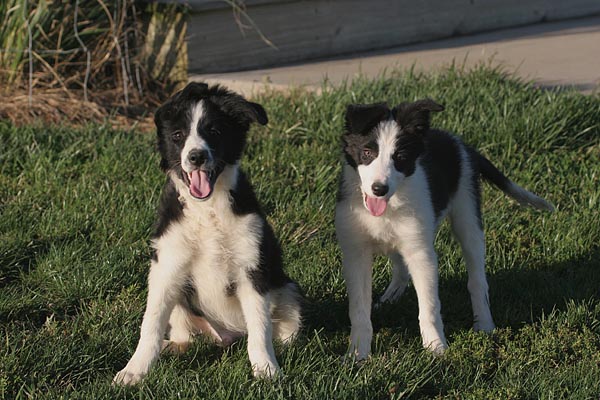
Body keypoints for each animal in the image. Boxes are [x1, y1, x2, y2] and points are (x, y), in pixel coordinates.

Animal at [113, 81, 300, 384]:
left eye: (214, 131)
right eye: (178, 135)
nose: (196, 157)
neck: (207, 210)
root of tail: (229, 336)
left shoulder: (252, 269)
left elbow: (260, 329)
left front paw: (266, 369)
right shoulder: (166, 268)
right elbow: (150, 323)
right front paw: (134, 370)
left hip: (288, 291)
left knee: (276, 332)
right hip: (182, 304)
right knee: (185, 337)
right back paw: (172, 347)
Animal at [336, 99, 552, 360]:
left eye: (401, 157)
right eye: (367, 153)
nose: (379, 189)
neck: (388, 207)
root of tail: (460, 144)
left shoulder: (422, 253)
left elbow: (429, 307)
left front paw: (436, 348)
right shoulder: (356, 253)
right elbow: (358, 310)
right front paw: (357, 354)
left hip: (467, 216)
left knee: (477, 280)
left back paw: (484, 325)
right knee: (401, 266)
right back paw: (389, 299)